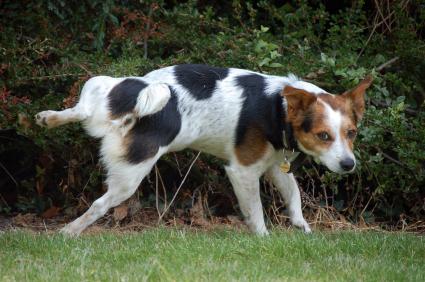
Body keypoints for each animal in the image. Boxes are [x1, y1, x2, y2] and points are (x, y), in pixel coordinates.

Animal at [34, 64, 370, 236]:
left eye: (351, 133)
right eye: (323, 135)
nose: (349, 165)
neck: (280, 106)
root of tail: (143, 91)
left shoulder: (275, 164)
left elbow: (293, 193)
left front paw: (301, 224)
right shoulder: (243, 171)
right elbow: (256, 210)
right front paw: (263, 238)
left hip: (104, 92)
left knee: (82, 109)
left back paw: (50, 117)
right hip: (130, 176)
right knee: (99, 204)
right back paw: (70, 231)